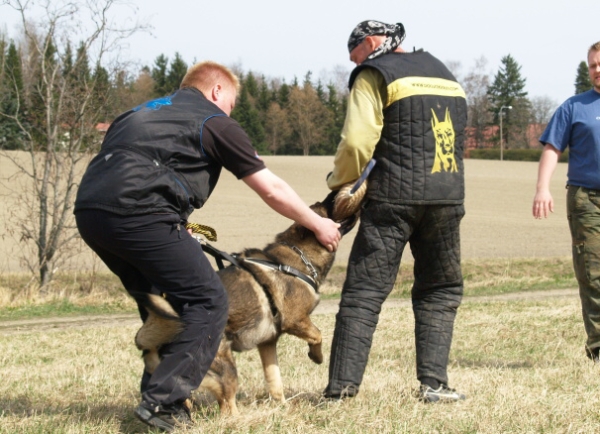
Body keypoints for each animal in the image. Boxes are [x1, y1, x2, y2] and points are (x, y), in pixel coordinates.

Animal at [134, 188, 364, 416]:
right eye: (323, 206)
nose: (336, 190)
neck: (299, 255)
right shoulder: (296, 320)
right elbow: (318, 335)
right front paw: (316, 357)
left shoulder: (268, 343)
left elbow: (275, 381)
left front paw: (283, 408)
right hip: (226, 369)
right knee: (227, 408)